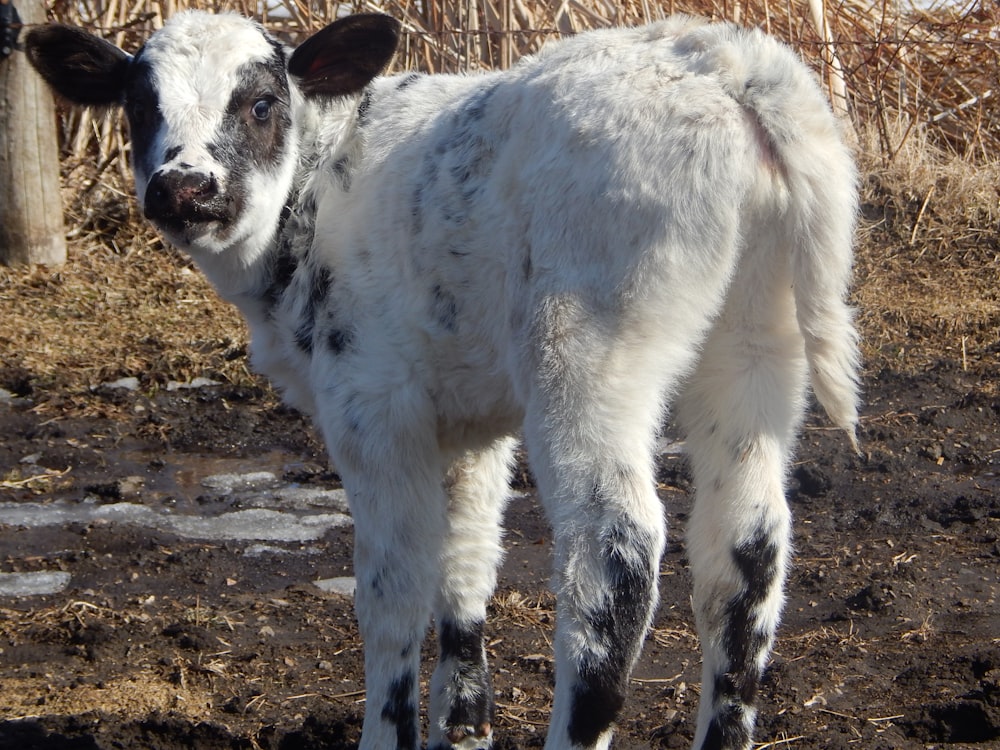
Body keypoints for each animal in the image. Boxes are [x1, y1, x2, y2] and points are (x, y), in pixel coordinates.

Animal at [29, 11, 860, 750]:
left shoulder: (371, 403)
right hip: (756, 347)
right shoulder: (467, 417)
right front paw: (463, 725)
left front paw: (388, 732)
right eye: (139, 105)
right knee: (744, 549)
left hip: (589, 352)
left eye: (261, 102)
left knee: (614, 554)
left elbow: (393, 588)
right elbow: (466, 558)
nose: (184, 187)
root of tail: (720, 57)